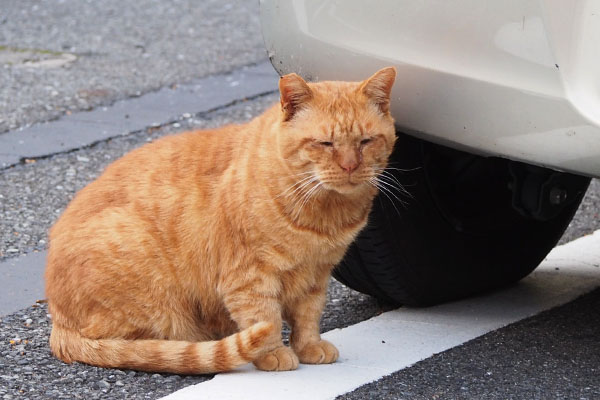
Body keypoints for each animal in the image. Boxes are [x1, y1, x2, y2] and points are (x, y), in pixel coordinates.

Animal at [45, 67, 398, 374]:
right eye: (325, 143)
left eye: (366, 141)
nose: (350, 166)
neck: (325, 214)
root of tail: (57, 320)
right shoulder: (249, 276)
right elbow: (263, 316)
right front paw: (272, 353)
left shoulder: (315, 275)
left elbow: (308, 316)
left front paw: (309, 346)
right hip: (145, 275)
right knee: (130, 342)